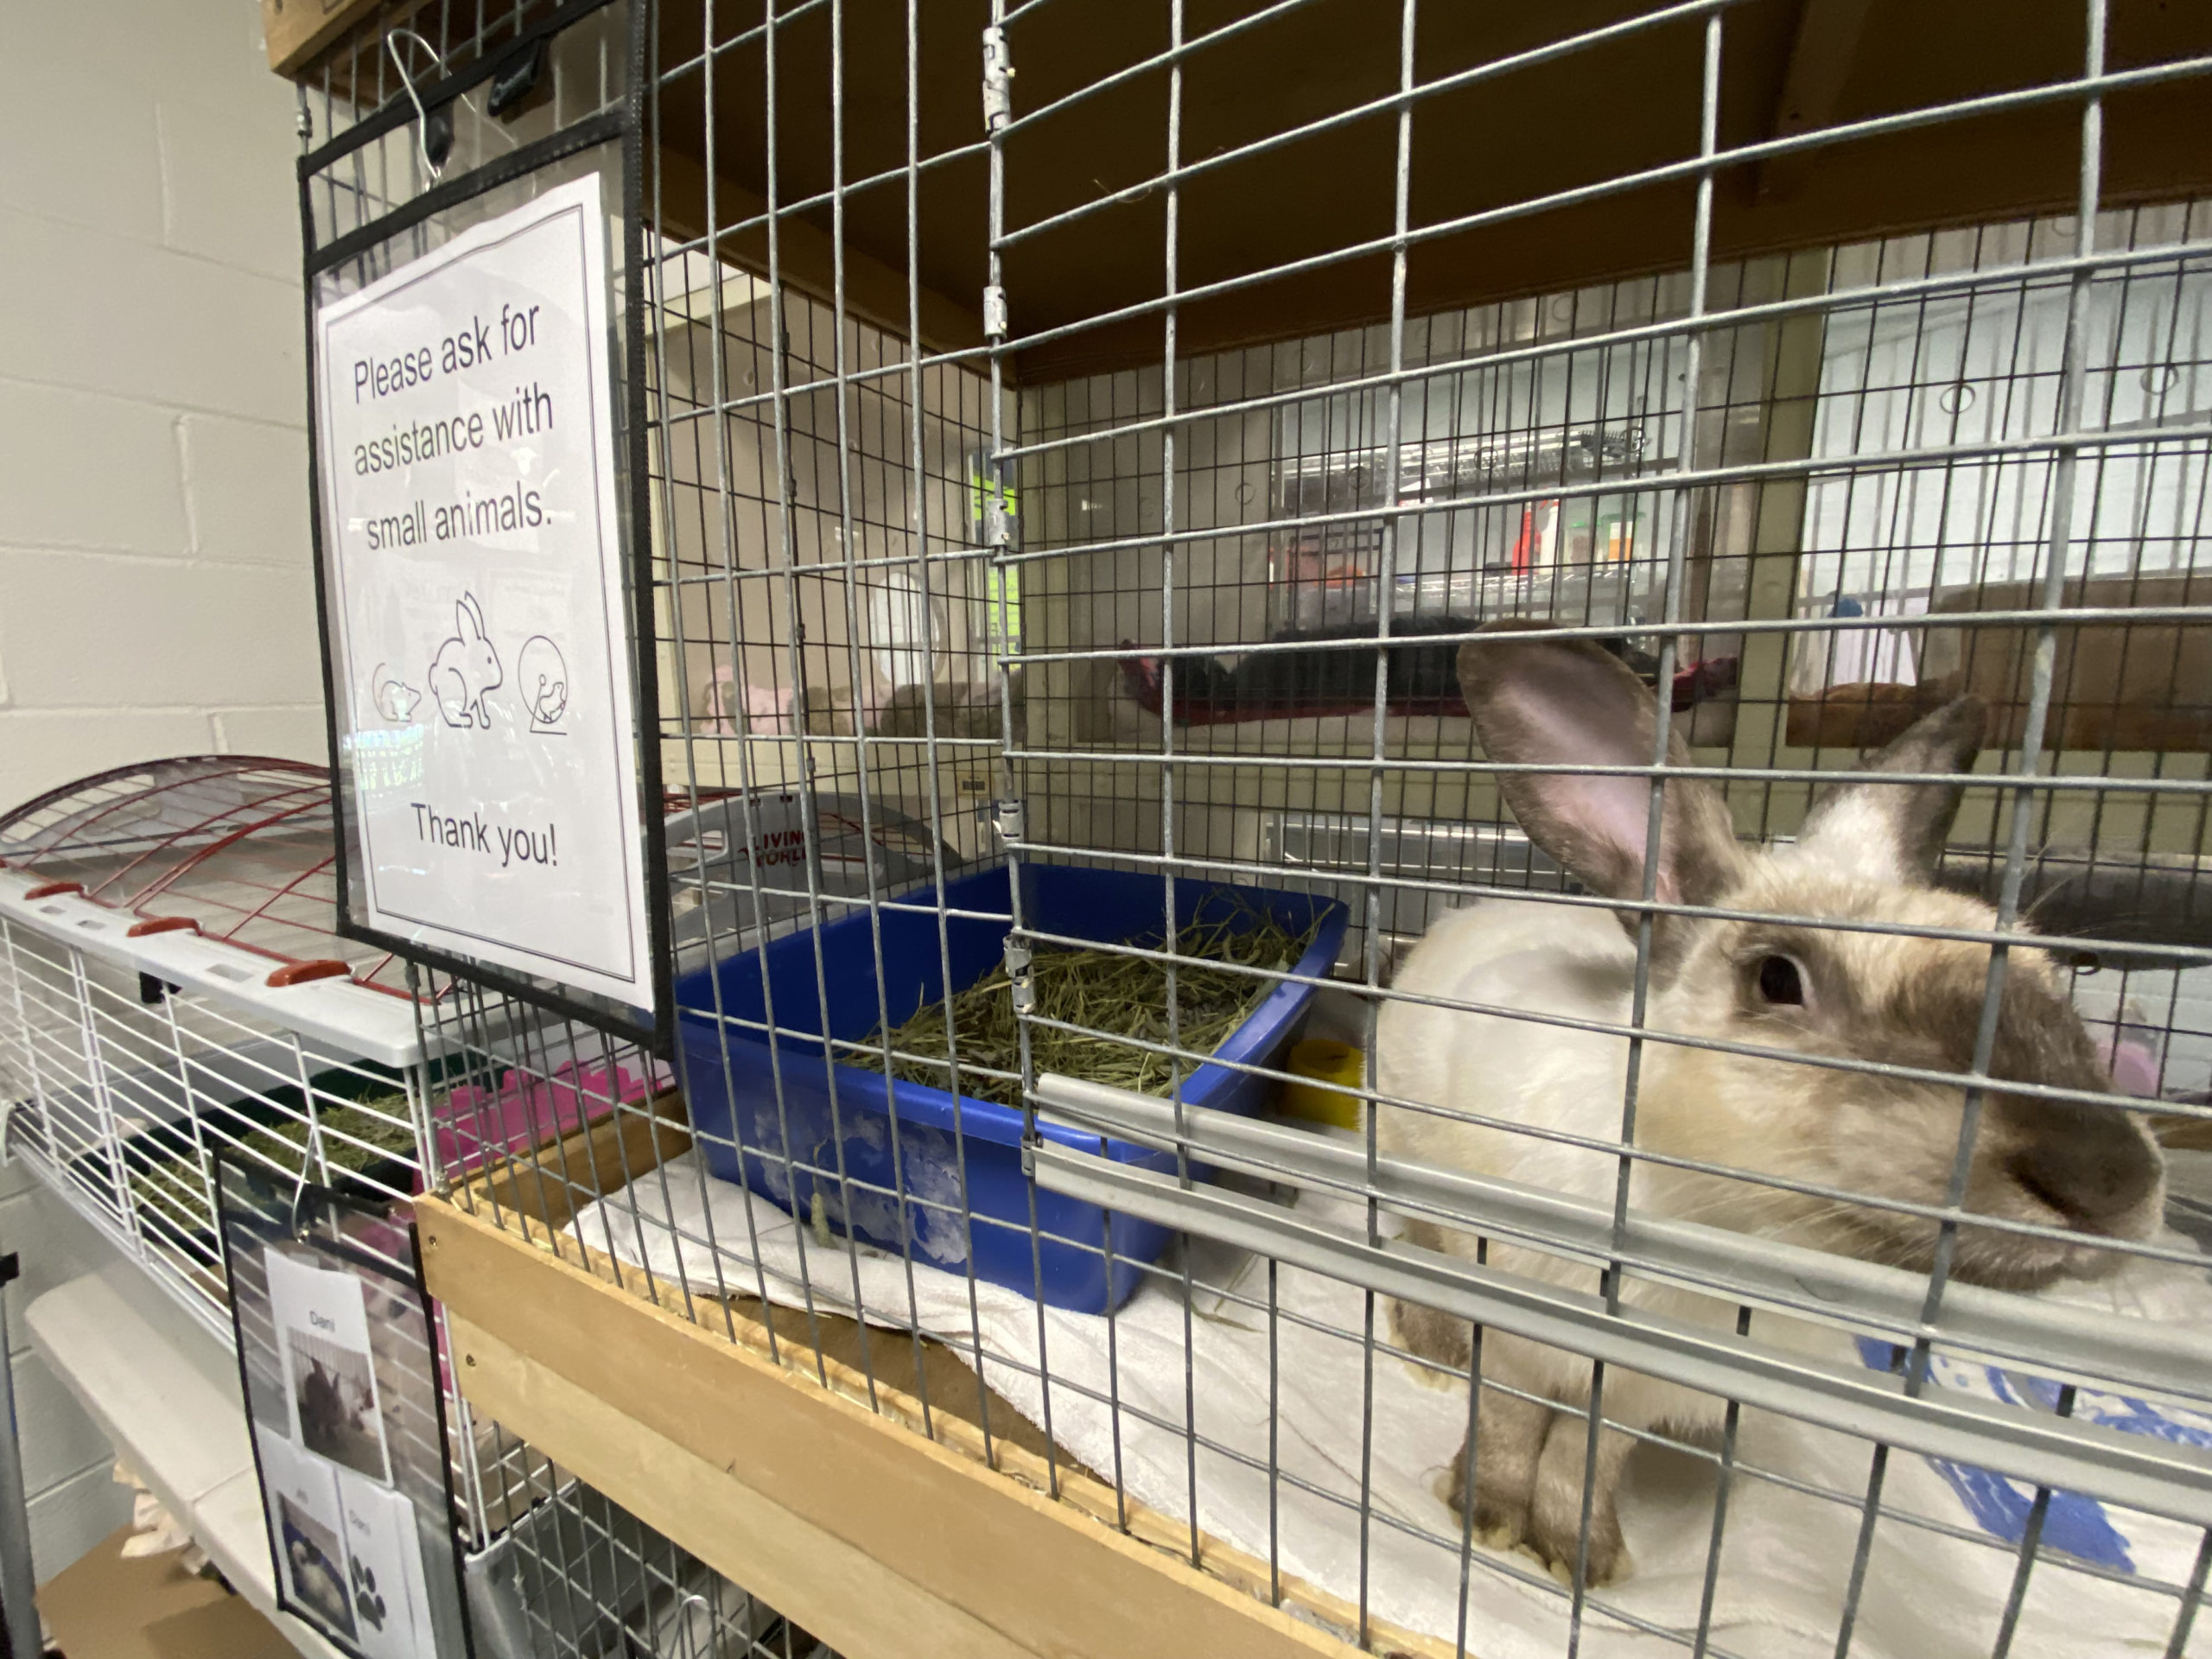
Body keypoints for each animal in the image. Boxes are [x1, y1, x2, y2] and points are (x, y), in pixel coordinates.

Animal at [429, 593, 502, 728]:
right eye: (489, 660)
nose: (498, 678)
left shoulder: (477, 694)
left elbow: (480, 705)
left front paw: (485, 720)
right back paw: (464, 720)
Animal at [1376, 621, 2165, 1586]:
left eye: (2048, 974)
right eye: (1777, 979)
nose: (2110, 1179)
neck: (1714, 1222)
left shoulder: (1637, 1386)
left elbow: (1585, 1454)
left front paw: (1579, 1555)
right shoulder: (1520, 1323)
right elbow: (1513, 1420)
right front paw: (1486, 1515)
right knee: (1417, 1245)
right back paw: (1432, 1346)